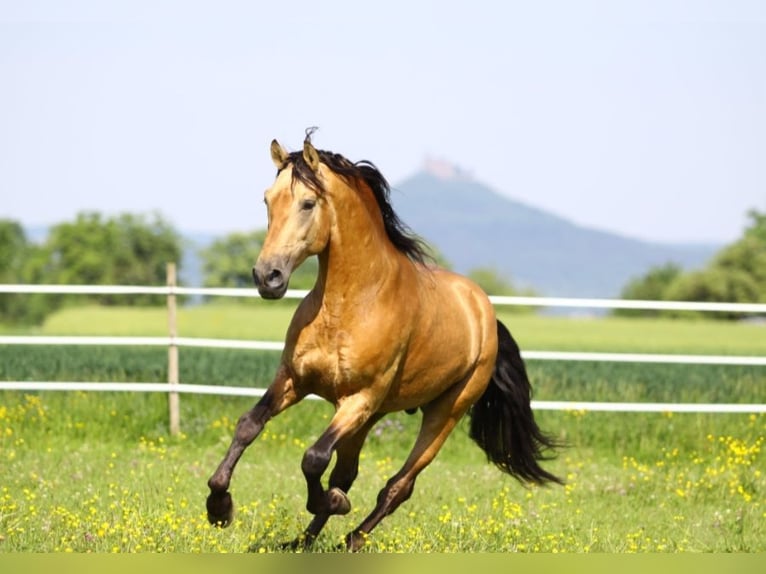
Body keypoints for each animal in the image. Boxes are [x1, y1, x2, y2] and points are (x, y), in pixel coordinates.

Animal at [206, 128, 564, 552]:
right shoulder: (293, 380)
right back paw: (301, 541)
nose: (267, 277)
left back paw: (351, 537)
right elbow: (249, 425)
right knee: (347, 474)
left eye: (308, 203)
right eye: (267, 200)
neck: (349, 304)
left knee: (398, 486)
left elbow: (313, 457)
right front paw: (218, 507)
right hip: (372, 416)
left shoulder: (360, 398)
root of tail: (484, 311)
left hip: (444, 412)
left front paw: (332, 503)